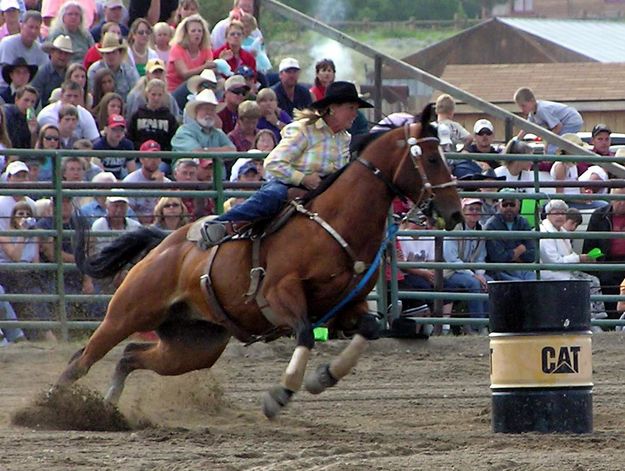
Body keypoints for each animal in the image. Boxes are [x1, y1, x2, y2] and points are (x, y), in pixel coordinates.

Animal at [56, 106, 464, 420]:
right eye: (431, 158)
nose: (456, 213)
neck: (335, 222)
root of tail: (164, 246)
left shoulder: (347, 305)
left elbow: (369, 328)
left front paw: (323, 378)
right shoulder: (279, 294)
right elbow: (304, 334)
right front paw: (279, 395)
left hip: (194, 345)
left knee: (129, 357)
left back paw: (108, 407)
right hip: (128, 313)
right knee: (83, 358)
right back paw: (53, 406)